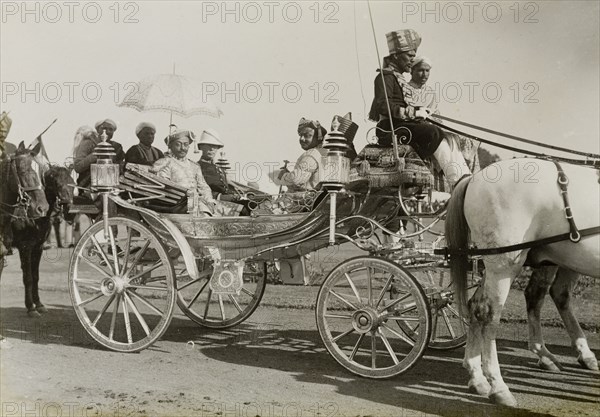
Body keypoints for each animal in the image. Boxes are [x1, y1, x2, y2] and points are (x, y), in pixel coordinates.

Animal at [0, 142, 75, 316]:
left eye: (73, 184)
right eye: (58, 184)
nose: (69, 209)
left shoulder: (38, 247)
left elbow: (35, 277)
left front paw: (38, 304)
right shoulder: (25, 247)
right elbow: (27, 277)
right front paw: (30, 307)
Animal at [446, 157, 600, 406]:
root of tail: (475, 177)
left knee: (478, 306)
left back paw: (477, 376)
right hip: (505, 264)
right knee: (488, 314)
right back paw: (498, 386)